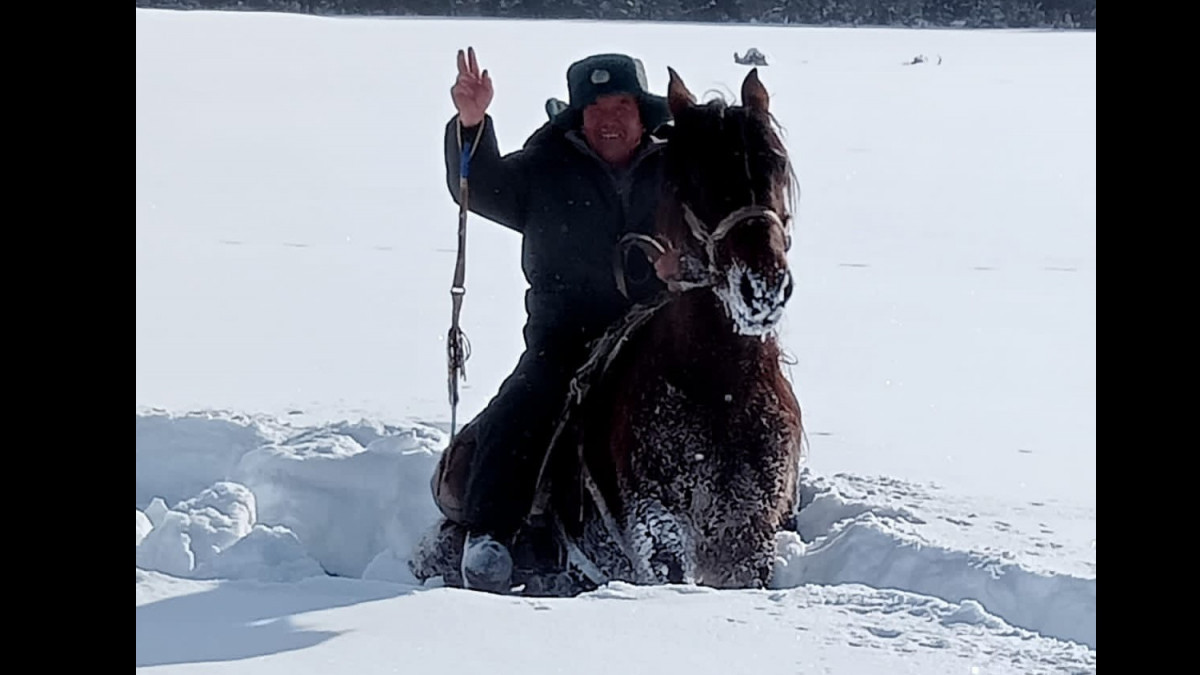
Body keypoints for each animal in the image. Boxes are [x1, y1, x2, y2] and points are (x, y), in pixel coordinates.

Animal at [412, 66, 806, 593]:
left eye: (775, 163)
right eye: (690, 175)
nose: (761, 287)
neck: (716, 382)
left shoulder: (746, 527)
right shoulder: (653, 521)